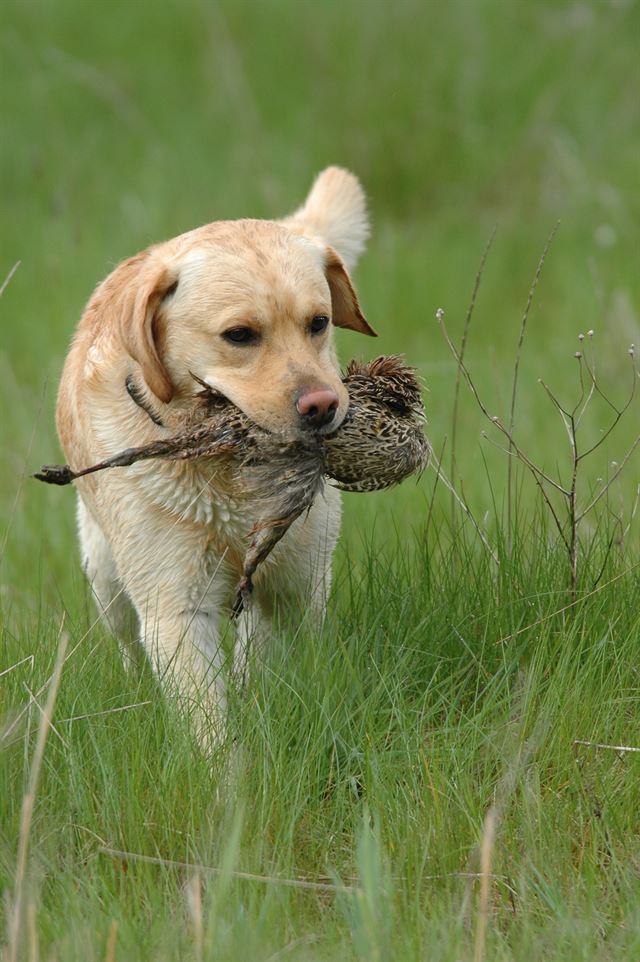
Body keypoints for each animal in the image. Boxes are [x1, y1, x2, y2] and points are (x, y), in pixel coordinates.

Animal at [56, 167, 376, 736]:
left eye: (318, 323)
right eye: (239, 335)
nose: (323, 406)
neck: (226, 471)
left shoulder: (294, 585)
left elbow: (269, 670)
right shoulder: (174, 607)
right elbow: (208, 723)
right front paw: (227, 759)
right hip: (106, 577)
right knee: (126, 644)